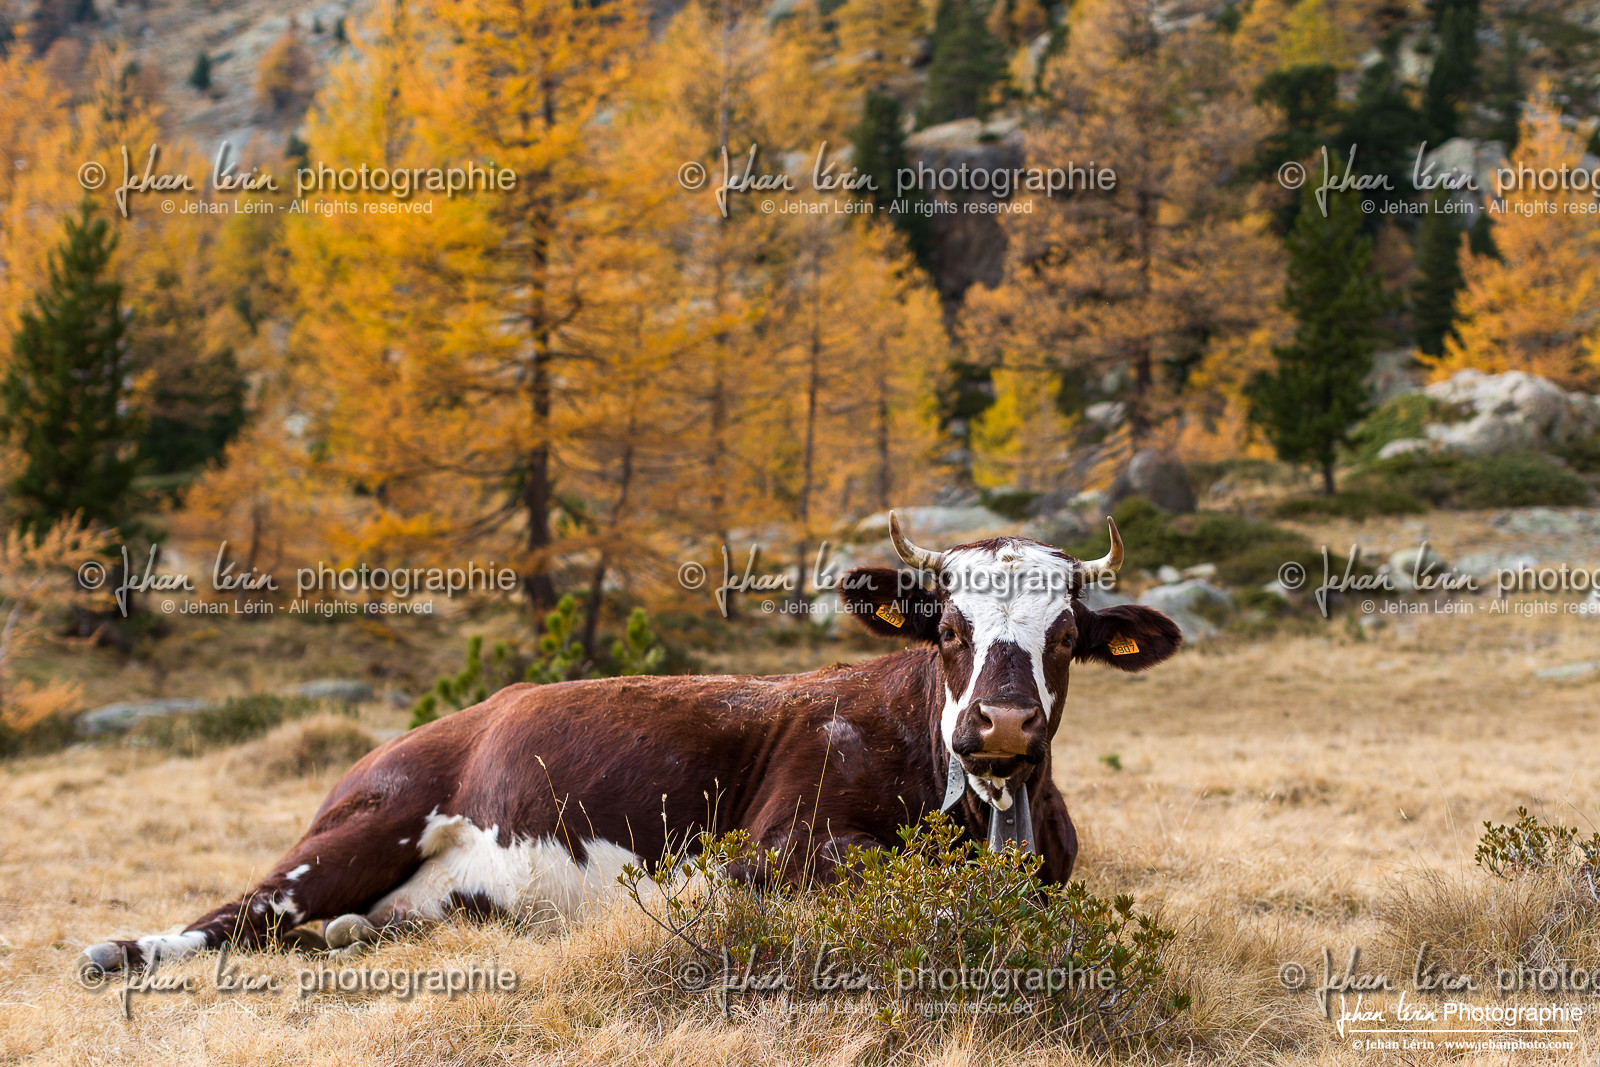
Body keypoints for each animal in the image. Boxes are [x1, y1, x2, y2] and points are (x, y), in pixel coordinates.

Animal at [78, 513, 1181, 976]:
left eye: (1067, 637)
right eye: (947, 628)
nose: (1002, 724)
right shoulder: (777, 845)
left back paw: (344, 936)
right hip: (368, 819)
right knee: (243, 911)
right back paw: (118, 949)